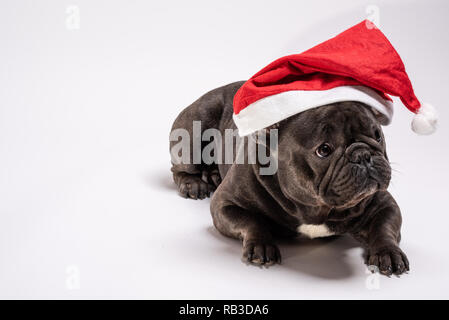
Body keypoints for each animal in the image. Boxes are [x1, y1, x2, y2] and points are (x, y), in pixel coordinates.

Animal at [170, 81, 408, 276]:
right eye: (324, 150)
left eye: (377, 135)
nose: (363, 155)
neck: (315, 208)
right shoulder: (225, 204)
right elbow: (251, 221)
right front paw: (261, 245)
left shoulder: (383, 203)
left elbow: (384, 226)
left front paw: (388, 252)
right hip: (194, 129)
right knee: (180, 167)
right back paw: (193, 184)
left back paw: (212, 174)